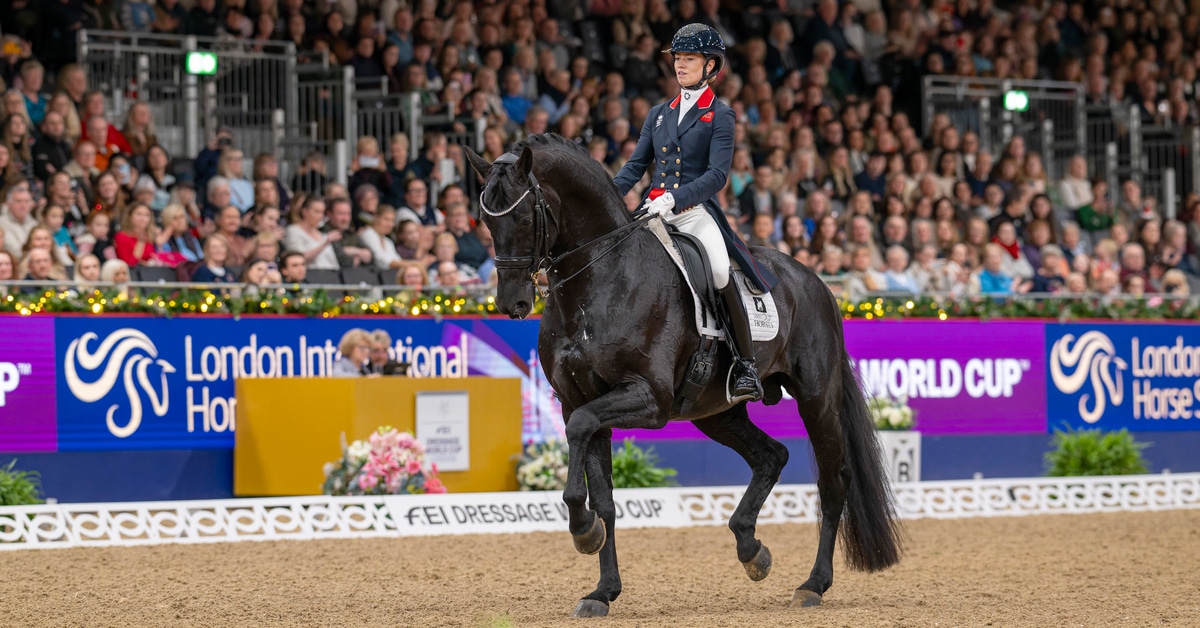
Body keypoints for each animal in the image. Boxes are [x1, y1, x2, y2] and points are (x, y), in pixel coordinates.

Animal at [465, 134, 902, 618]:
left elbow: (582, 441)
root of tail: (816, 281)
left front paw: (583, 531)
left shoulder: (647, 399)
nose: (512, 303)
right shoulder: (578, 400)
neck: (599, 279)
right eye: (486, 221)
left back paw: (813, 584)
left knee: (832, 480)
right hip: (715, 412)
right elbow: (604, 495)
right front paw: (602, 590)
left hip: (816, 397)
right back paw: (752, 550)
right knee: (771, 456)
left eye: (523, 216)